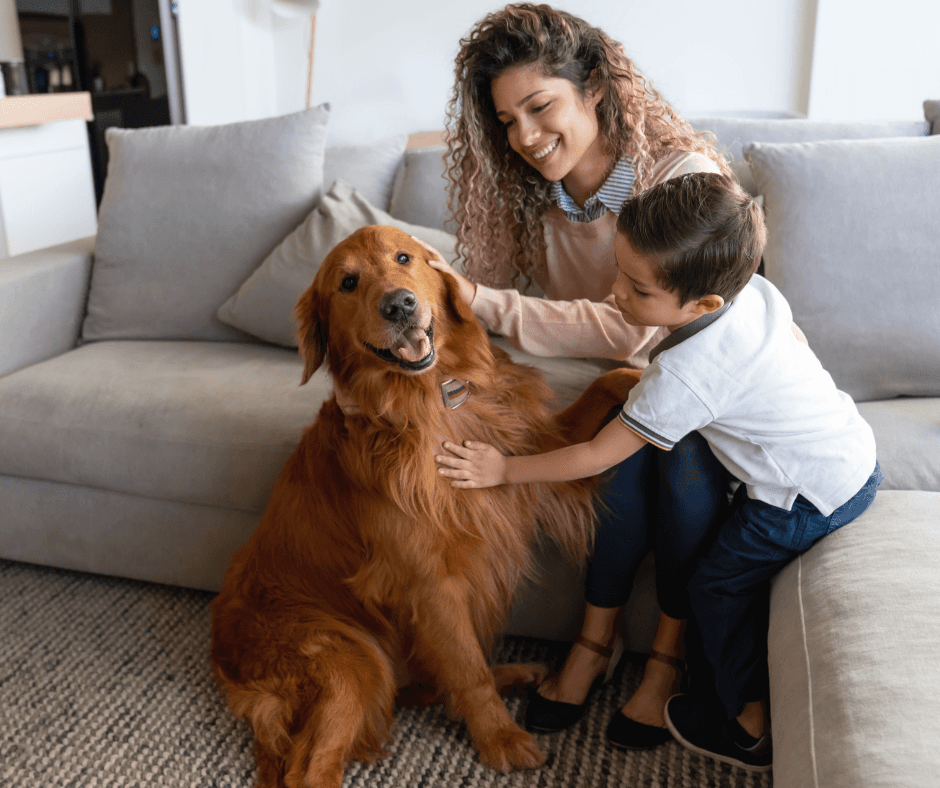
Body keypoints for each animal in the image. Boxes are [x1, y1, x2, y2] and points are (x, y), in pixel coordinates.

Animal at [210, 225, 644, 784]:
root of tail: (222, 650)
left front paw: (655, 376)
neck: (433, 398)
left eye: (404, 257)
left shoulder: (538, 447)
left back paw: (516, 671)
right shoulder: (430, 581)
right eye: (347, 282)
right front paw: (500, 738)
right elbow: (467, 668)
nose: (399, 304)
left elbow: (606, 387)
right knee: (311, 767)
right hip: (351, 659)